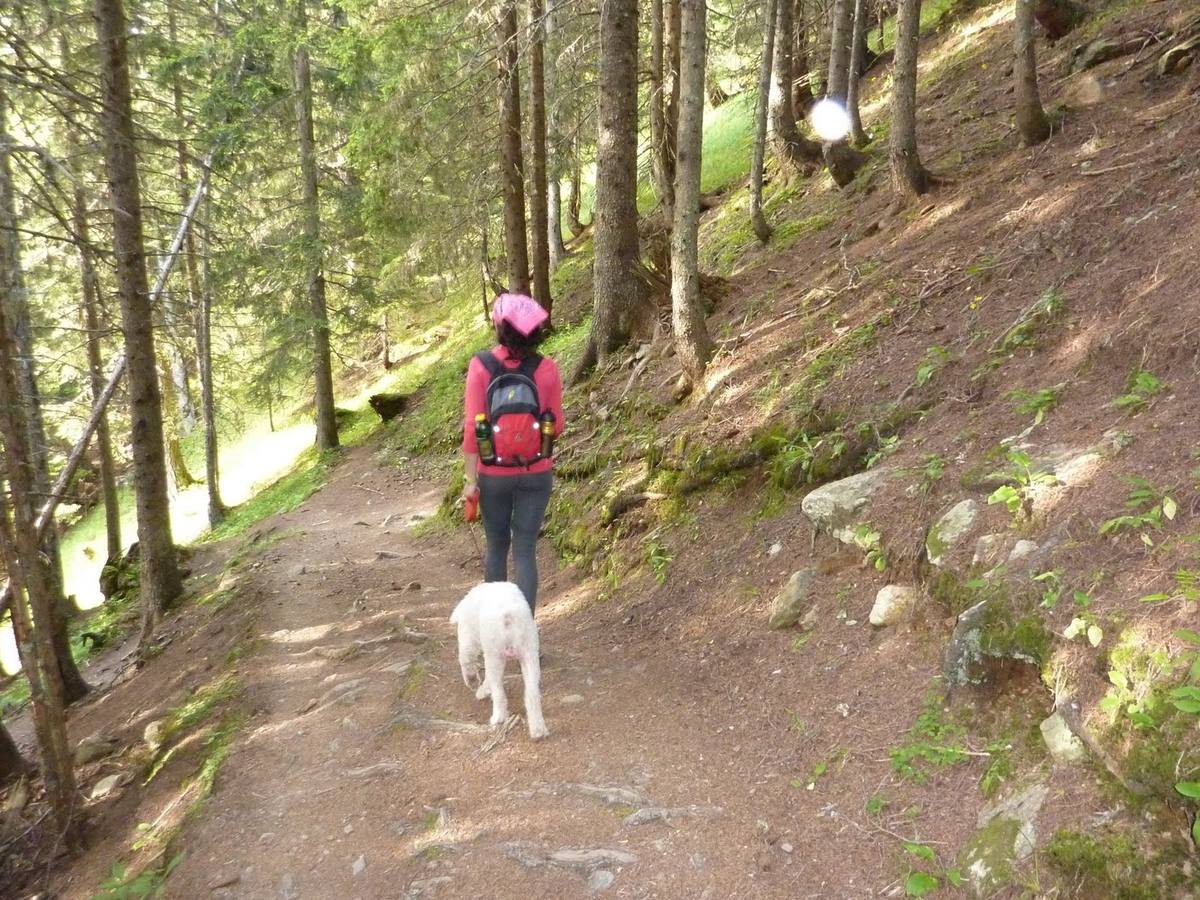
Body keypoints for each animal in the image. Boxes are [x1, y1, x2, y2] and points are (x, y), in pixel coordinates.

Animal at [446, 585, 549, 739]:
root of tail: (508, 615)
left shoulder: (469, 638)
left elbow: (466, 660)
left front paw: (473, 682)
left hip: (494, 655)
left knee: (498, 692)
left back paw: (498, 717)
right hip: (529, 655)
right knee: (532, 695)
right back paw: (538, 729)